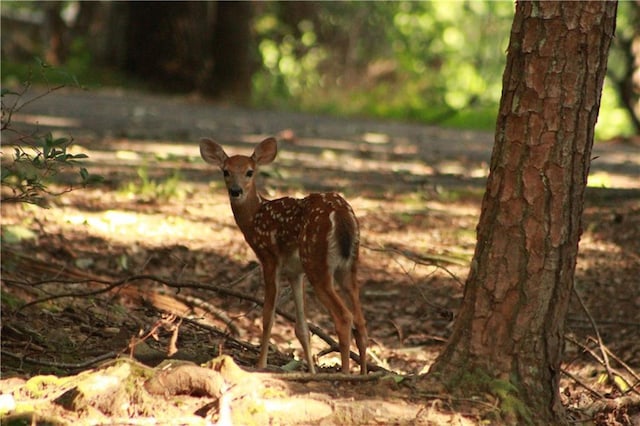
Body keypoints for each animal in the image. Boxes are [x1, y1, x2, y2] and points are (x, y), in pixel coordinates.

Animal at [200, 136, 370, 372]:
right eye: (226, 171)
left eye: (250, 171)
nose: (235, 191)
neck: (254, 217)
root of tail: (342, 214)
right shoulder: (294, 271)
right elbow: (302, 328)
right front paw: (311, 371)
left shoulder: (269, 258)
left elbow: (267, 316)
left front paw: (261, 364)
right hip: (348, 265)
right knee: (361, 323)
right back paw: (363, 373)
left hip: (316, 261)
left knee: (345, 317)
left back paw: (345, 373)